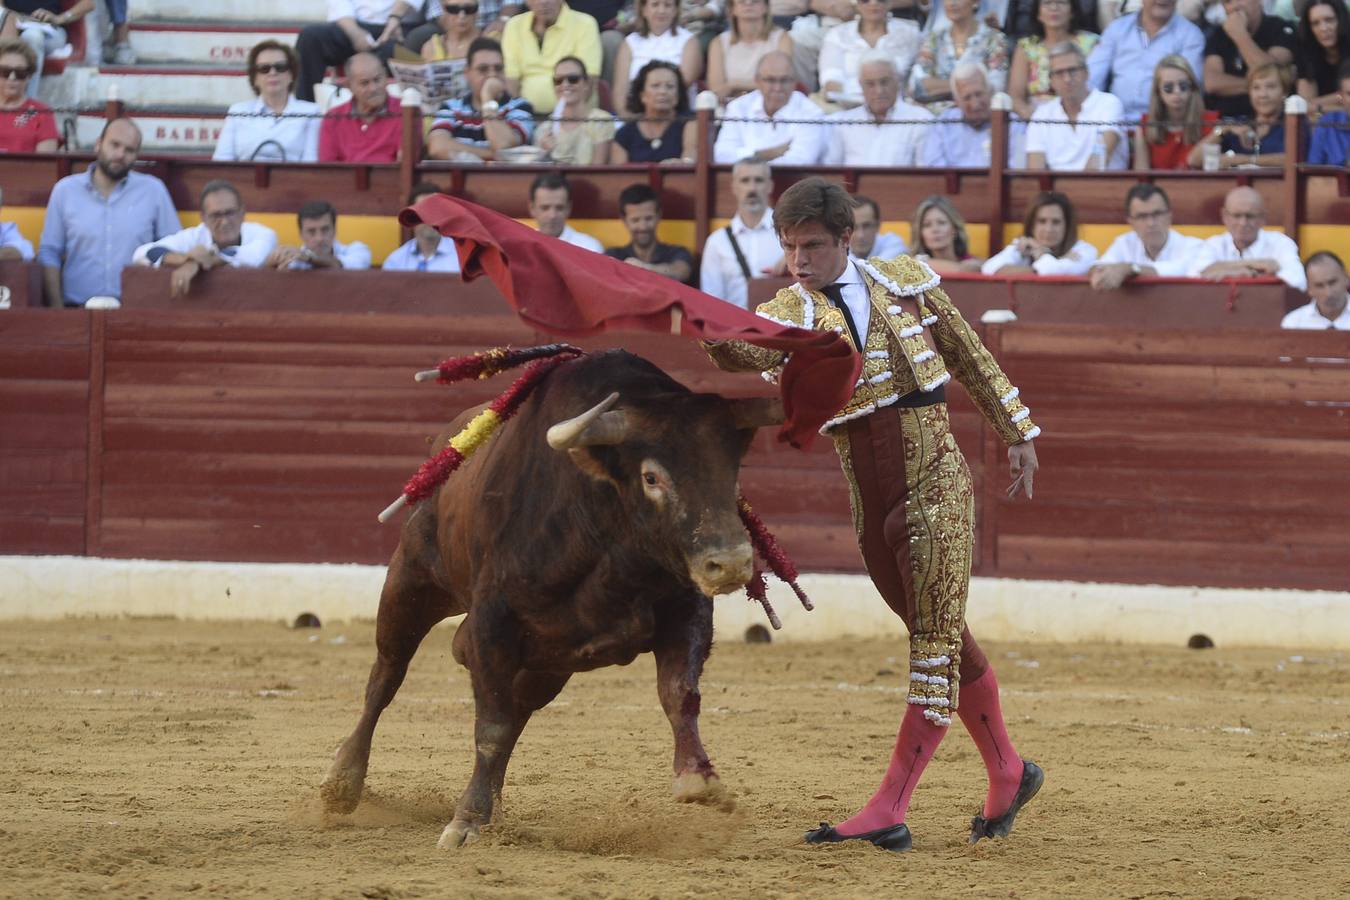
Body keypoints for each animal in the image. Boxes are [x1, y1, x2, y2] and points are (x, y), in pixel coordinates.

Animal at [318, 348, 783, 847]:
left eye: (732, 473)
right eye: (651, 477)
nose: (731, 563)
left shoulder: (687, 608)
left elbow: (680, 693)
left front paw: (699, 778)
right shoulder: (492, 621)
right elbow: (490, 724)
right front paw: (465, 822)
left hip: (549, 663)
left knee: (517, 707)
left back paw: (492, 807)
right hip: (412, 581)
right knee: (386, 675)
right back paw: (342, 783)